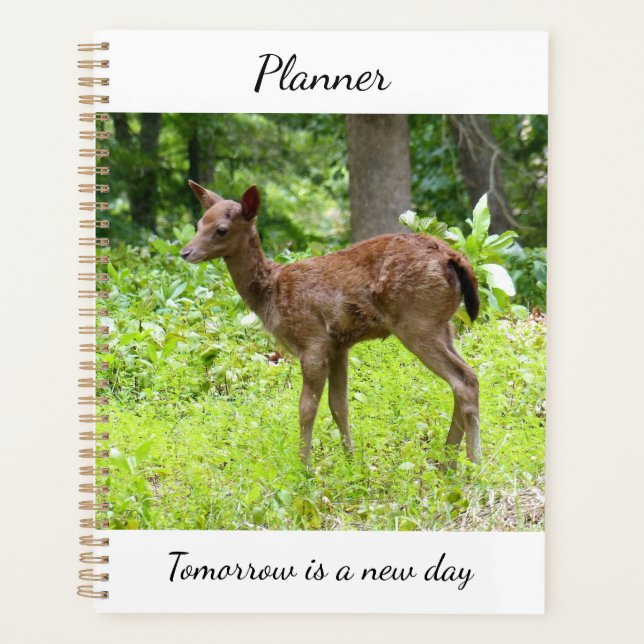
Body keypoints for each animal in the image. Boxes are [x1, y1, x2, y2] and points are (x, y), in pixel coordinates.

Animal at [181, 182, 481, 465]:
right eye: (198, 224)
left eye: (221, 229)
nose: (186, 252)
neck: (271, 294)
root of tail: (455, 259)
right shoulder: (339, 345)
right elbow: (339, 405)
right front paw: (351, 461)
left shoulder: (312, 340)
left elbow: (306, 407)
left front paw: (304, 467)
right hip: (443, 325)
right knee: (465, 378)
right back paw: (448, 462)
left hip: (417, 321)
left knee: (464, 380)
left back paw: (473, 462)